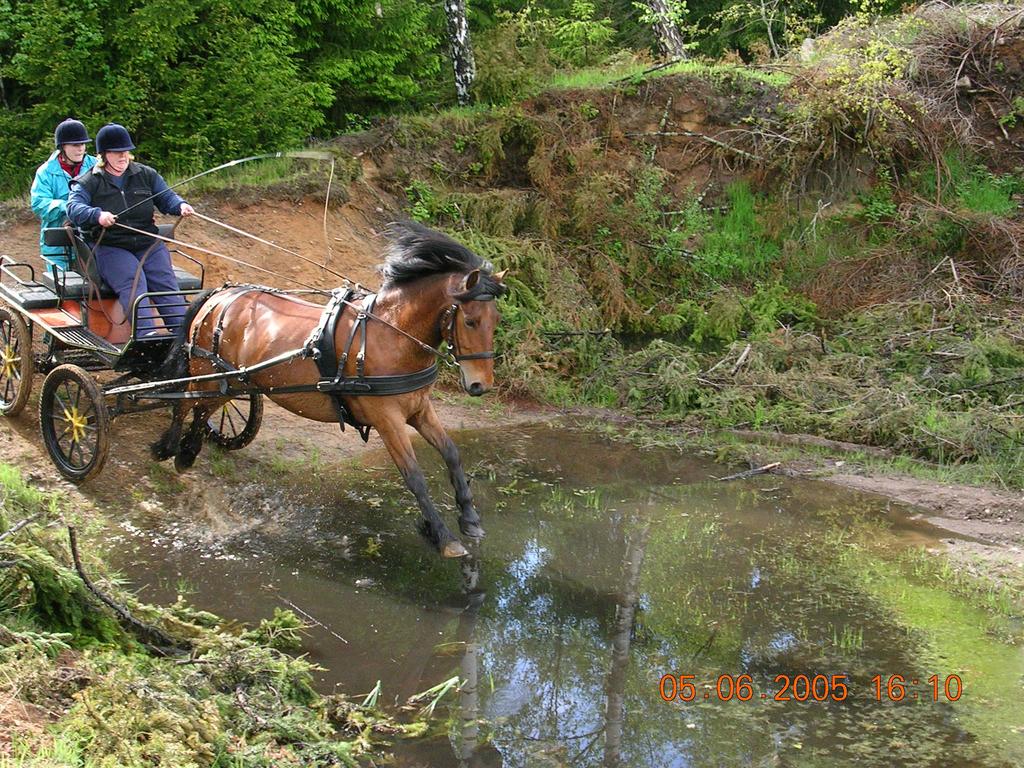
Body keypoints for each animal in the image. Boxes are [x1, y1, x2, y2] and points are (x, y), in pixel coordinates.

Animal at [149, 224, 505, 561]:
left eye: (496, 320)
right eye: (471, 321)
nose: (481, 385)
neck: (391, 334)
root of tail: (221, 294)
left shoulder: (419, 408)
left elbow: (452, 453)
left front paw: (470, 518)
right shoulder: (387, 419)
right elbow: (414, 476)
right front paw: (444, 537)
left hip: (234, 381)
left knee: (203, 410)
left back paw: (187, 454)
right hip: (208, 372)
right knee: (185, 404)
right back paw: (169, 448)